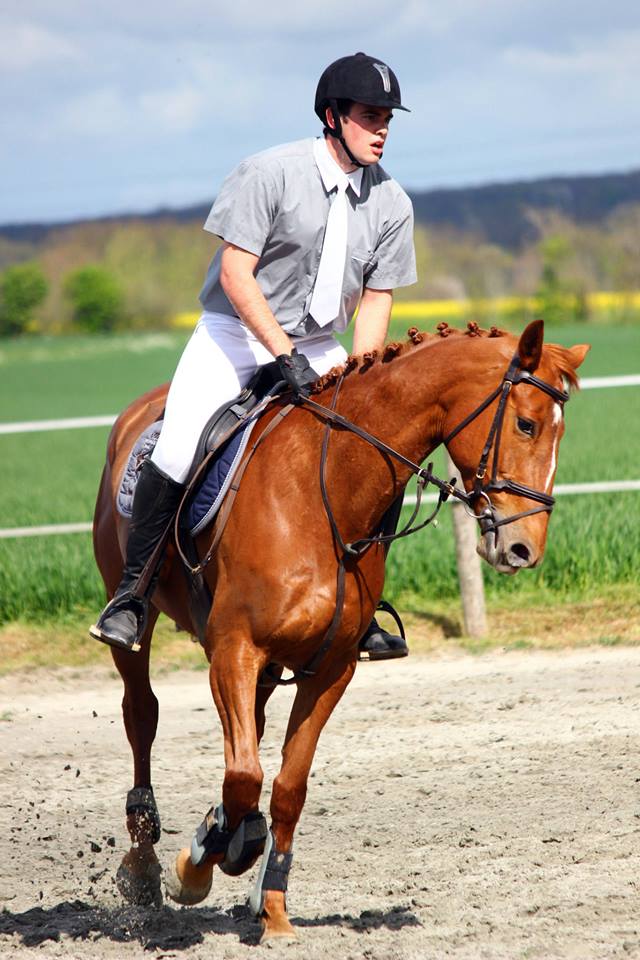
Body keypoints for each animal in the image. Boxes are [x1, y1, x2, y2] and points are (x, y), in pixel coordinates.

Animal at [92, 318, 588, 940]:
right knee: (143, 715)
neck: (320, 491)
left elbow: (285, 785)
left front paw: (273, 907)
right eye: (526, 424)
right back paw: (143, 867)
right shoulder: (234, 650)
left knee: (249, 732)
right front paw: (196, 866)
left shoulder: (331, 667)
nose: (523, 549)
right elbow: (245, 774)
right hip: (140, 620)